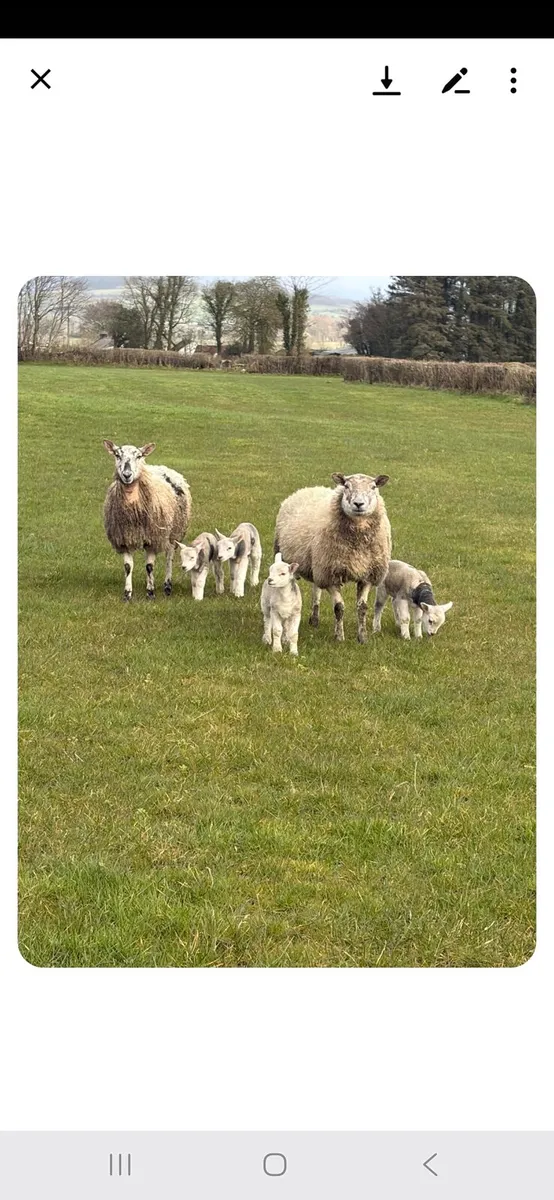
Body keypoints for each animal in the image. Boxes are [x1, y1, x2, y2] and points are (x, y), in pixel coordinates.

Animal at [103, 440, 191, 600]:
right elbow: (128, 567)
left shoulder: (152, 539)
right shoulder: (125, 538)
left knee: (169, 557)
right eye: (117, 455)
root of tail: (161, 467)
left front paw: (150, 593)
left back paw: (167, 586)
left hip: (174, 532)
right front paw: (127, 594)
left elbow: (149, 566)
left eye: (138, 456)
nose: (127, 475)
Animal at [274, 472, 391, 643]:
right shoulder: (330, 575)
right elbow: (339, 607)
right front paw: (339, 637)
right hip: (292, 557)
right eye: (346, 486)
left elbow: (362, 607)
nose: (358, 504)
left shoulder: (368, 574)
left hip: (317, 563)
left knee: (316, 589)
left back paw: (314, 619)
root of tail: (310, 488)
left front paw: (362, 637)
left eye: (373, 487)